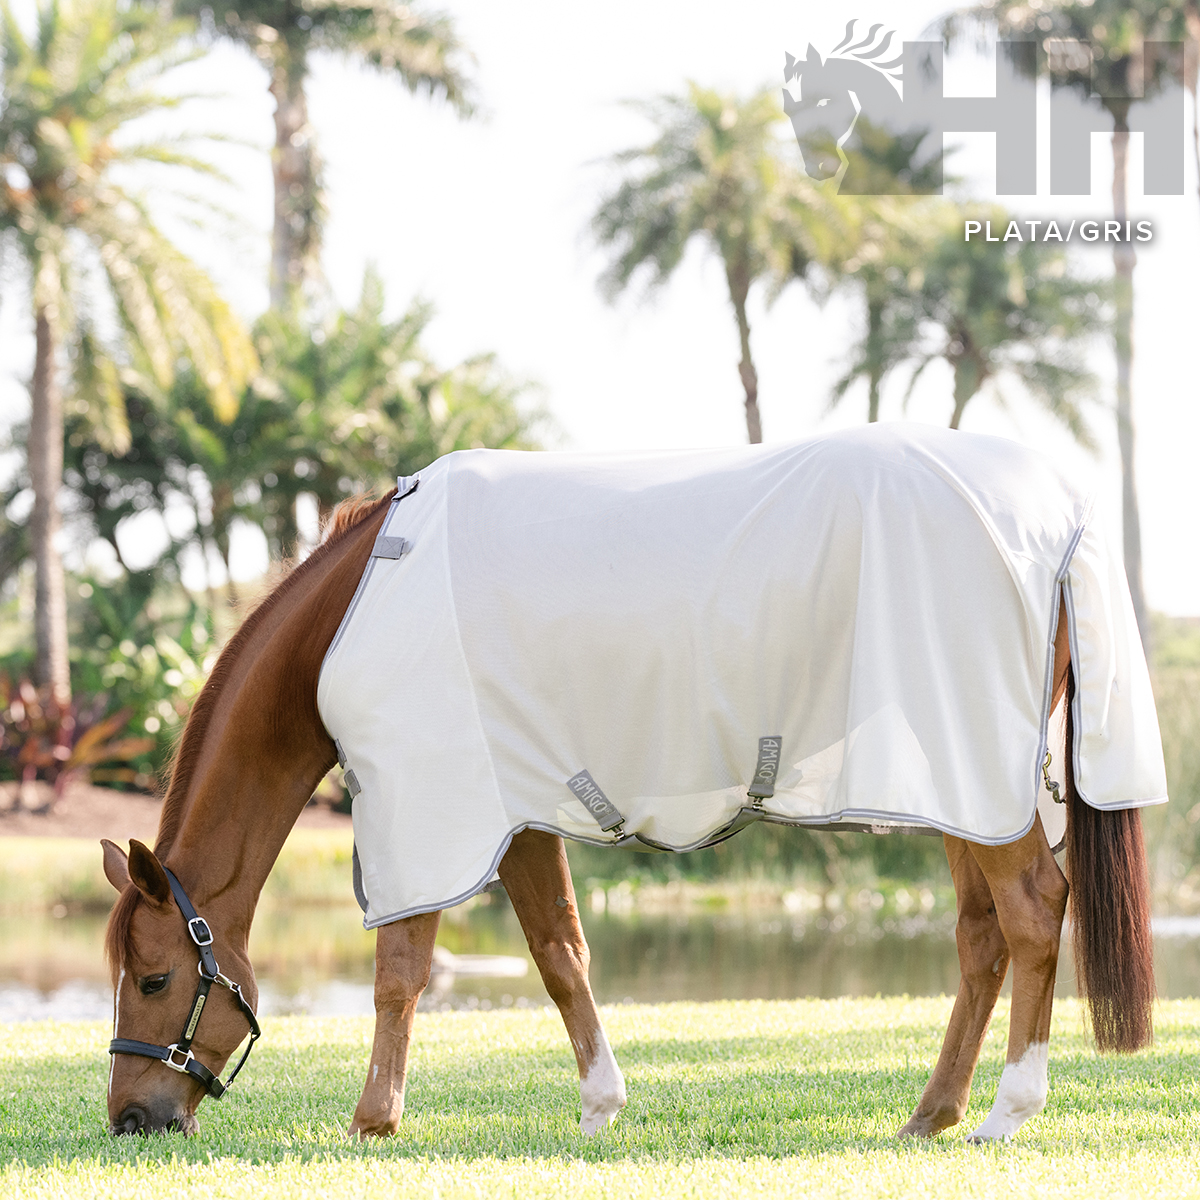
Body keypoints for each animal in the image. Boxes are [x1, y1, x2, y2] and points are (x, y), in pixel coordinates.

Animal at [101, 433, 1157, 1144]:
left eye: (155, 979)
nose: (131, 1117)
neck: (355, 613)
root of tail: (1058, 516)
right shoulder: (517, 813)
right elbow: (560, 954)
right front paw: (601, 1105)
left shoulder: (430, 806)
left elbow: (401, 970)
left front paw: (373, 1121)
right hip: (958, 784)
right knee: (983, 937)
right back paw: (931, 1114)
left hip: (978, 780)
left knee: (1033, 913)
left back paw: (1007, 1113)